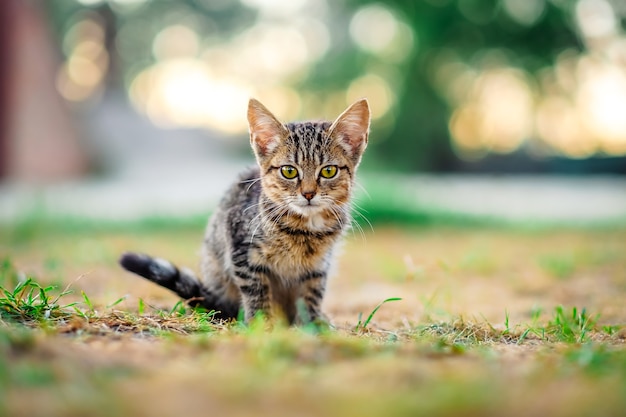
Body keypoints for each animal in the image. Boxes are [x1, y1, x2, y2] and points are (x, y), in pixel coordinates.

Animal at [119, 96, 368, 322]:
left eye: (328, 171)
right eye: (289, 171)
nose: (308, 194)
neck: (304, 230)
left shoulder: (319, 266)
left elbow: (312, 295)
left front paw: (315, 323)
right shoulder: (242, 252)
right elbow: (257, 293)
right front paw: (262, 324)